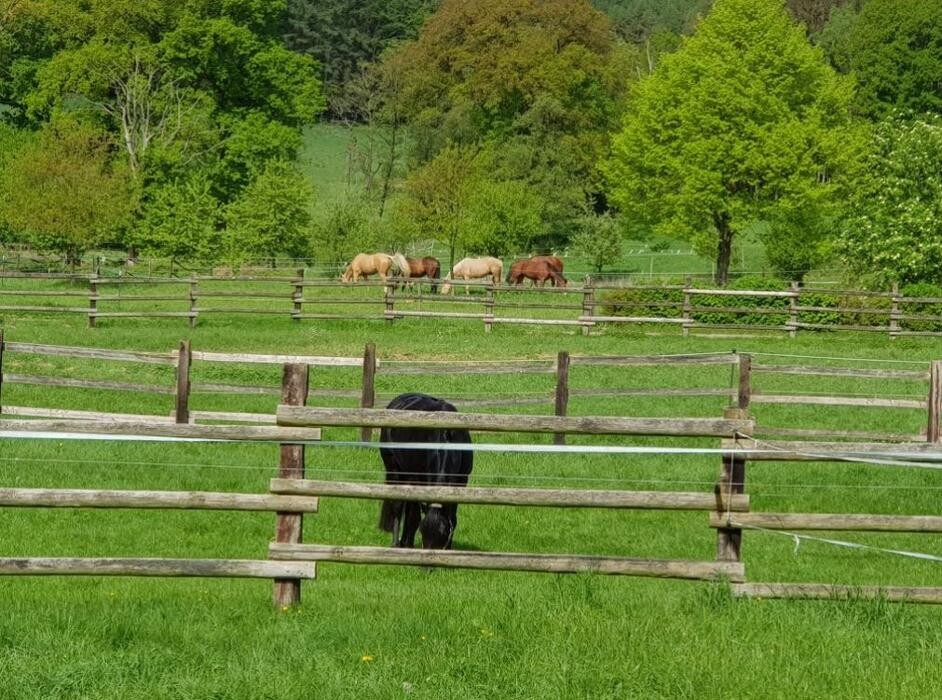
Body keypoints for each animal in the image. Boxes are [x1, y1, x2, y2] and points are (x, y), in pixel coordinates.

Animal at [380, 392, 476, 548]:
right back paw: (398, 543)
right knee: (398, 506)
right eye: (423, 534)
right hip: (395, 470)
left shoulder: (461, 481)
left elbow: (453, 519)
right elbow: (414, 517)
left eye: (443, 535)